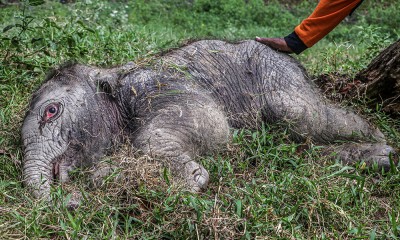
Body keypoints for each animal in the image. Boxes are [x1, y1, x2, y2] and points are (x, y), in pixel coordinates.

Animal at [21, 40, 394, 200]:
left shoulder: (159, 85)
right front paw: (106, 176)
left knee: (305, 117)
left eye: (51, 111)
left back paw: (382, 144)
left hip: (279, 75)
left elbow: (211, 124)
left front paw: (190, 181)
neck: (112, 73)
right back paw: (377, 158)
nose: (69, 200)